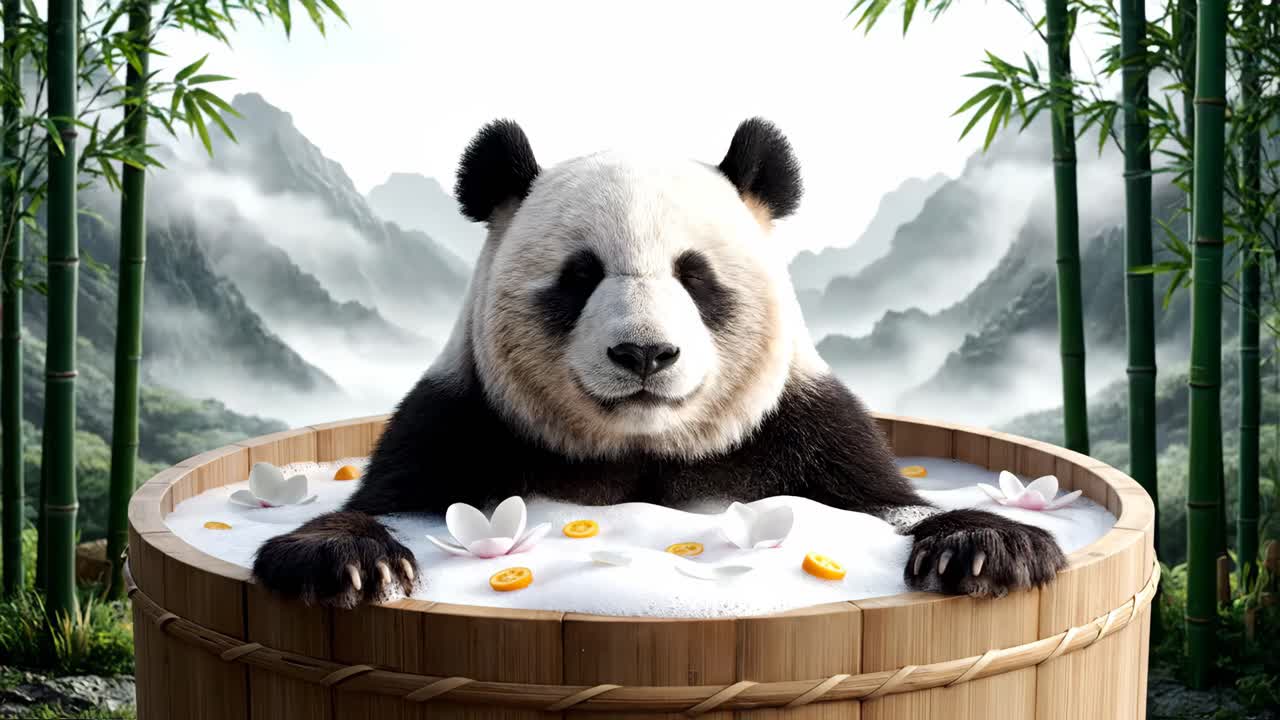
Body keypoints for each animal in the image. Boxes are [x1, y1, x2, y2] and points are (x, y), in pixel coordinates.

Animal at [250, 117, 1068, 609]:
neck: (641, 448)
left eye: (695, 276)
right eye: (580, 275)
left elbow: (889, 504)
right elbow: (388, 500)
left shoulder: (801, 429)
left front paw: (985, 547)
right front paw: (348, 561)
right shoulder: (464, 420)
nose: (643, 352)